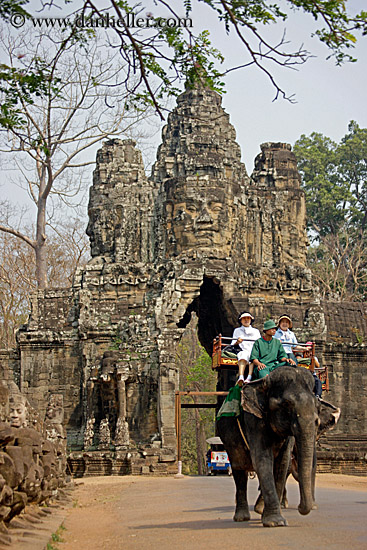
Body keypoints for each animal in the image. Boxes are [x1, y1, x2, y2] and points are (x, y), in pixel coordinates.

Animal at [217, 366, 340, 532]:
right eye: (286, 404)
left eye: (317, 405)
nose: (301, 508)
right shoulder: (253, 419)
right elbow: (262, 460)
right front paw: (275, 522)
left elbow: (282, 463)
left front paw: (264, 512)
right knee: (239, 468)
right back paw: (242, 517)